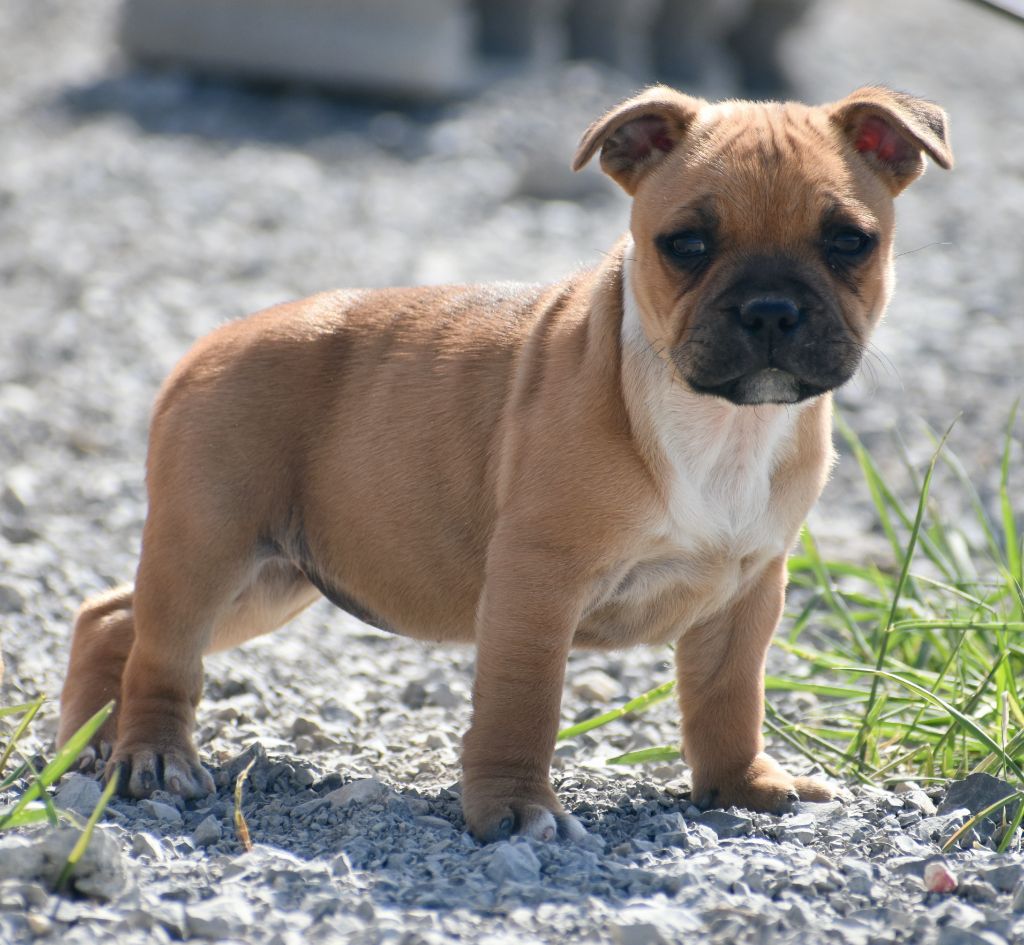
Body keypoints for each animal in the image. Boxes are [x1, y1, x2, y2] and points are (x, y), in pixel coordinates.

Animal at [58, 87, 950, 843]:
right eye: (687, 245)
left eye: (849, 242)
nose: (770, 309)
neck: (721, 422)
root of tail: (214, 341)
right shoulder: (537, 584)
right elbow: (525, 703)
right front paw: (517, 809)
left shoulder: (748, 586)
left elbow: (730, 696)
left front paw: (742, 784)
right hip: (210, 546)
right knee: (165, 651)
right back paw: (151, 753)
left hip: (273, 577)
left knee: (115, 618)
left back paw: (88, 744)